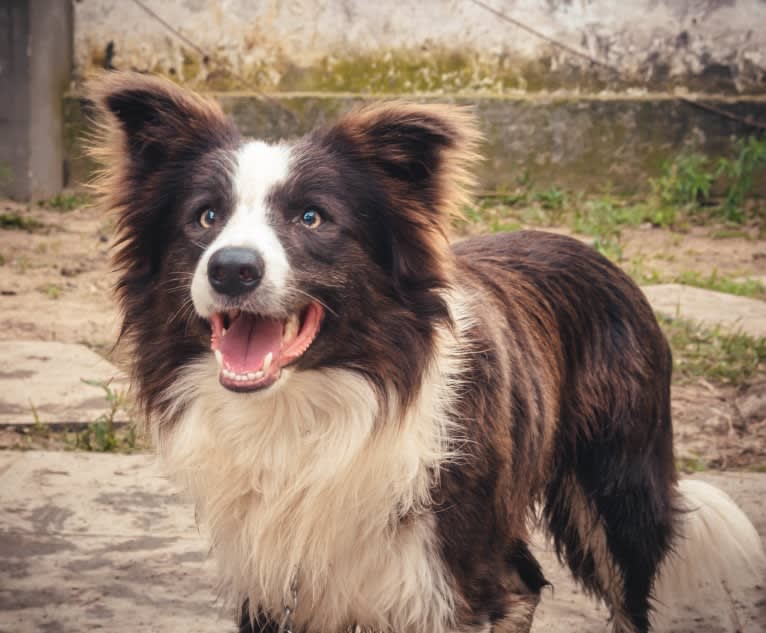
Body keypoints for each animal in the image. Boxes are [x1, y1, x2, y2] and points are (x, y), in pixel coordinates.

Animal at [91, 71, 766, 628]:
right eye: (205, 217)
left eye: (311, 218)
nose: (231, 269)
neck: (307, 408)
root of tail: (594, 253)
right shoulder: (273, 575)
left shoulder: (444, 575)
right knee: (525, 582)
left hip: (615, 489)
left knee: (618, 594)